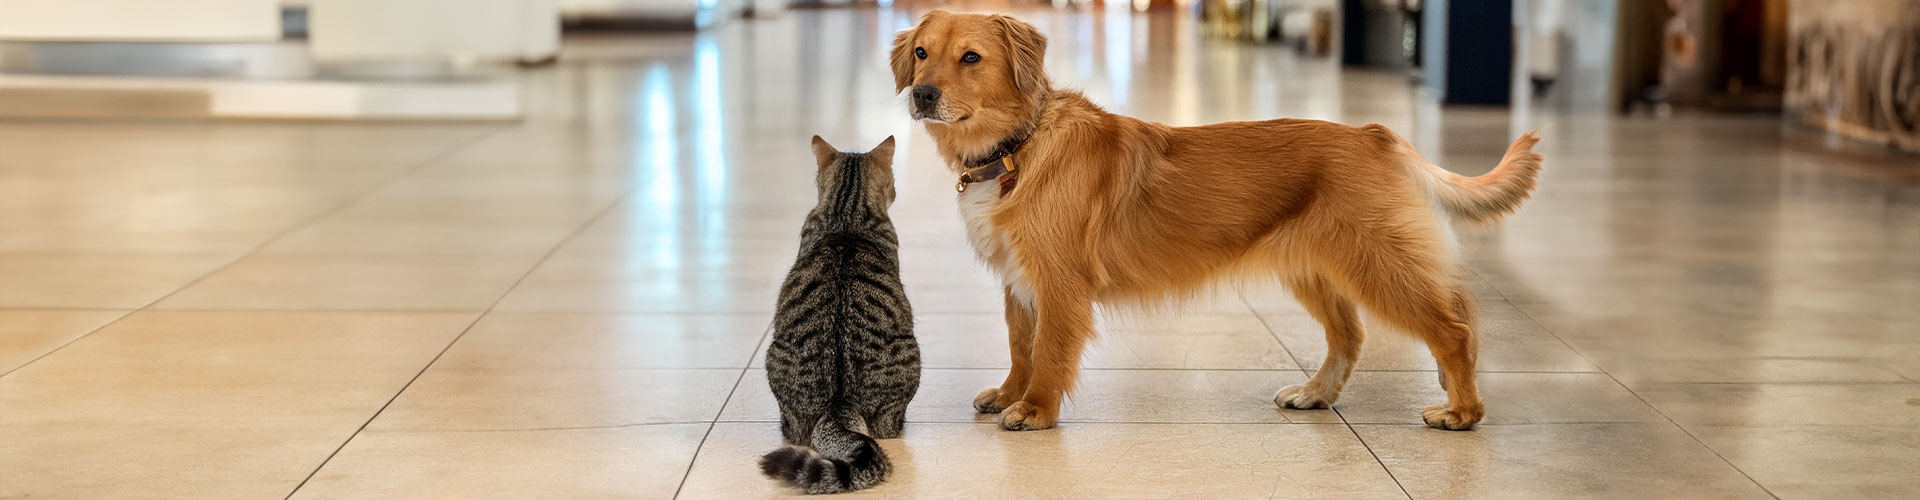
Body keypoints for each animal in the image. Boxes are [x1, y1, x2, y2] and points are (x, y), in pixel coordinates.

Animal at [887, 10, 1543, 428]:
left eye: (971, 58)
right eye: (922, 53)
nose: (921, 94)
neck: (1017, 146)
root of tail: (1375, 133)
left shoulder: (1059, 285)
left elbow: (1047, 352)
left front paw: (1035, 409)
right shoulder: (1018, 282)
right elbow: (1020, 346)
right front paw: (1009, 394)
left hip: (1378, 264)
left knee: (1454, 330)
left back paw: (1461, 411)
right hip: (1316, 270)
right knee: (1353, 336)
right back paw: (1315, 394)